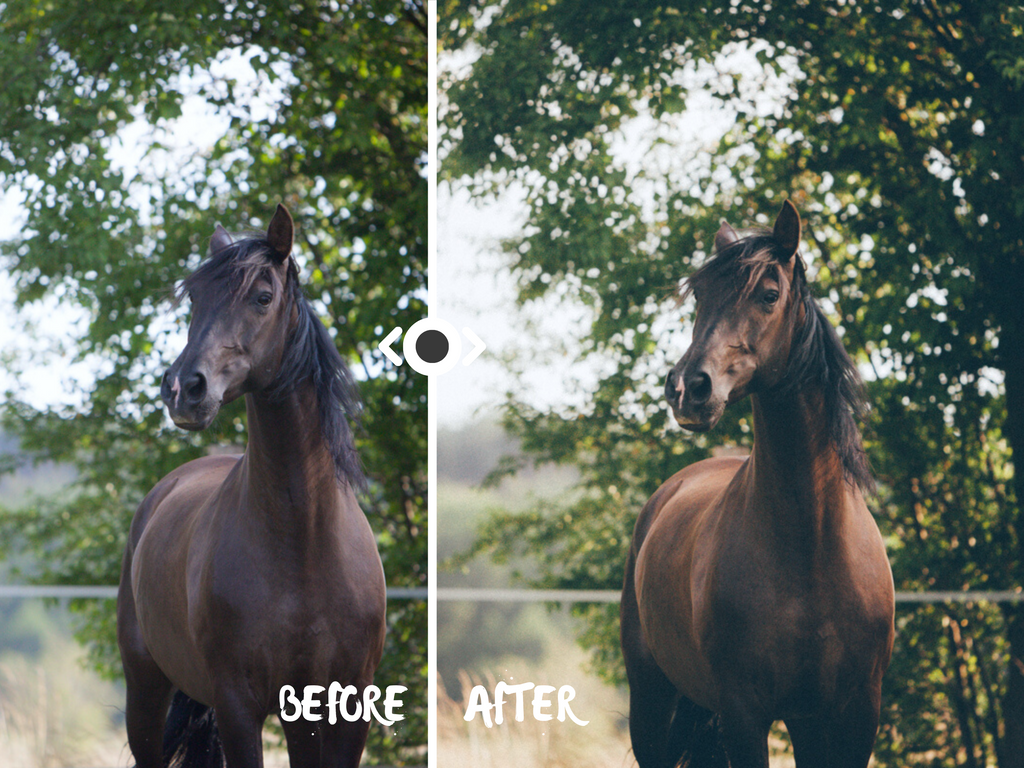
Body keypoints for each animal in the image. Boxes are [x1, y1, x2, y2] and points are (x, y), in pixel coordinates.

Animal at [117, 205, 386, 768]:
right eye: (195, 298)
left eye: (263, 297)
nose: (183, 389)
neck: (303, 538)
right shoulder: (237, 706)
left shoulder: (343, 708)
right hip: (145, 691)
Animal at [621, 201, 895, 768]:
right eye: (700, 295)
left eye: (769, 294)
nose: (687, 388)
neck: (812, 543)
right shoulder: (745, 714)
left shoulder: (853, 717)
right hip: (652, 702)